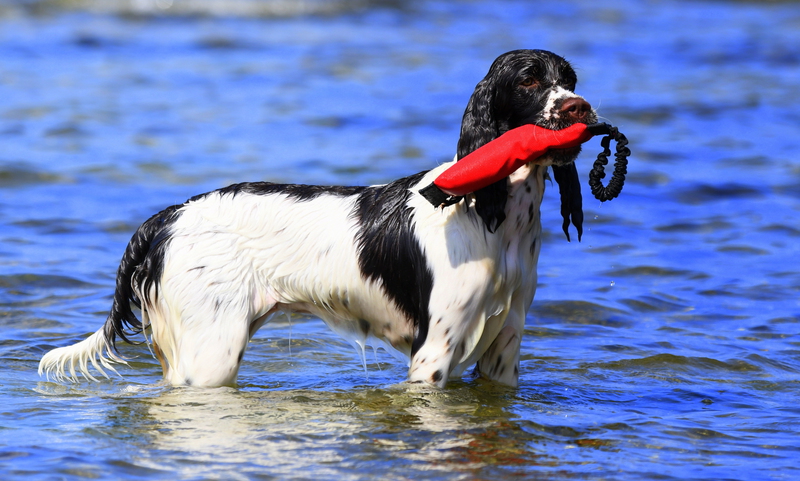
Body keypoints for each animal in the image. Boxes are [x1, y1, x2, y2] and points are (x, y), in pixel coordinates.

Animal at [39, 49, 598, 388]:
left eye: (570, 79)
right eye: (528, 80)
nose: (580, 107)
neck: (492, 213)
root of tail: (169, 216)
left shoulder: (503, 349)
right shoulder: (434, 353)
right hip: (209, 353)